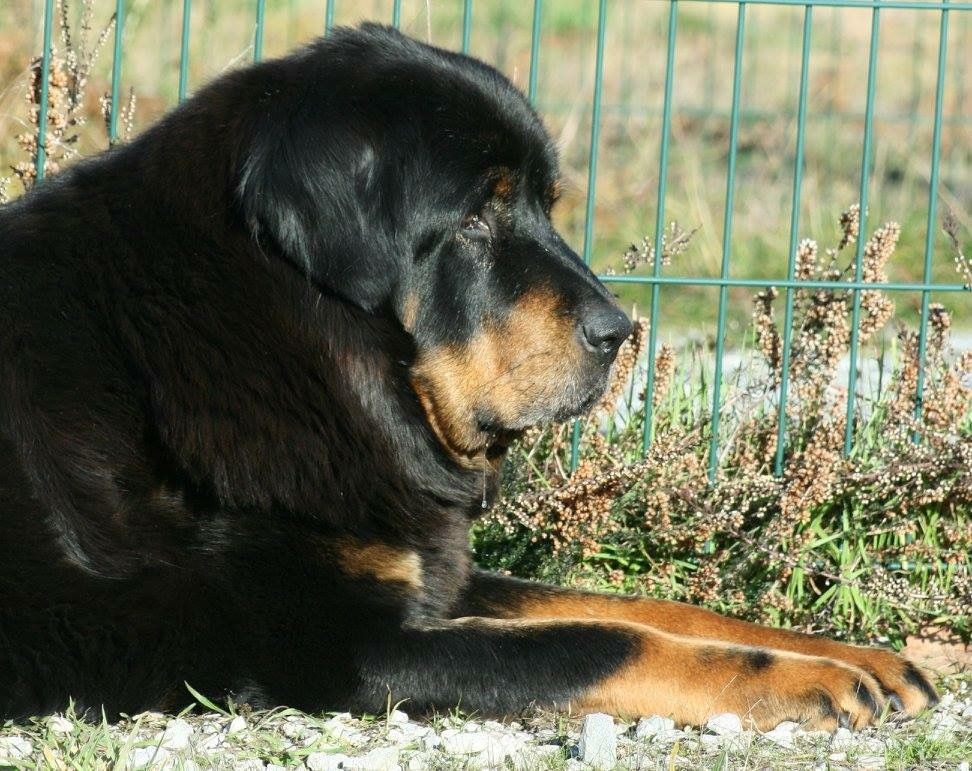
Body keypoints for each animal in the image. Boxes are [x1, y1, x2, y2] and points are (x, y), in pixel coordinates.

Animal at [0, 24, 935, 728]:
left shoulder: (429, 572)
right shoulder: (339, 645)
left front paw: (855, 654)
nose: (620, 331)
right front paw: (804, 677)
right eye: (477, 217)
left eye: (544, 206)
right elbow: (601, 639)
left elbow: (642, 606)